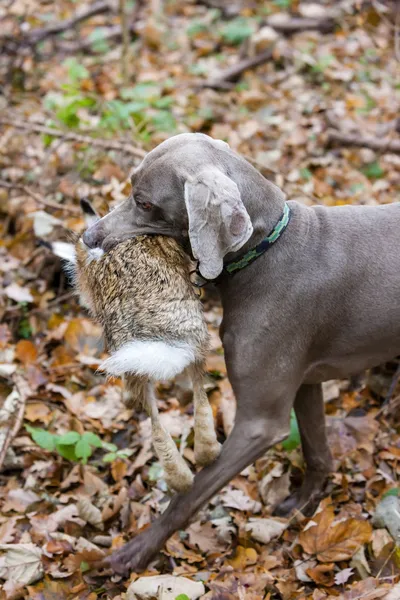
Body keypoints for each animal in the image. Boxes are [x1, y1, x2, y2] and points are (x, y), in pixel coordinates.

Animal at [83, 131, 400, 572]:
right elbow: (317, 452)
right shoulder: (305, 385)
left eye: (145, 202)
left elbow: (189, 494)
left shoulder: (259, 423)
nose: (88, 237)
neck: (266, 254)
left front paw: (138, 550)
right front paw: (303, 504)